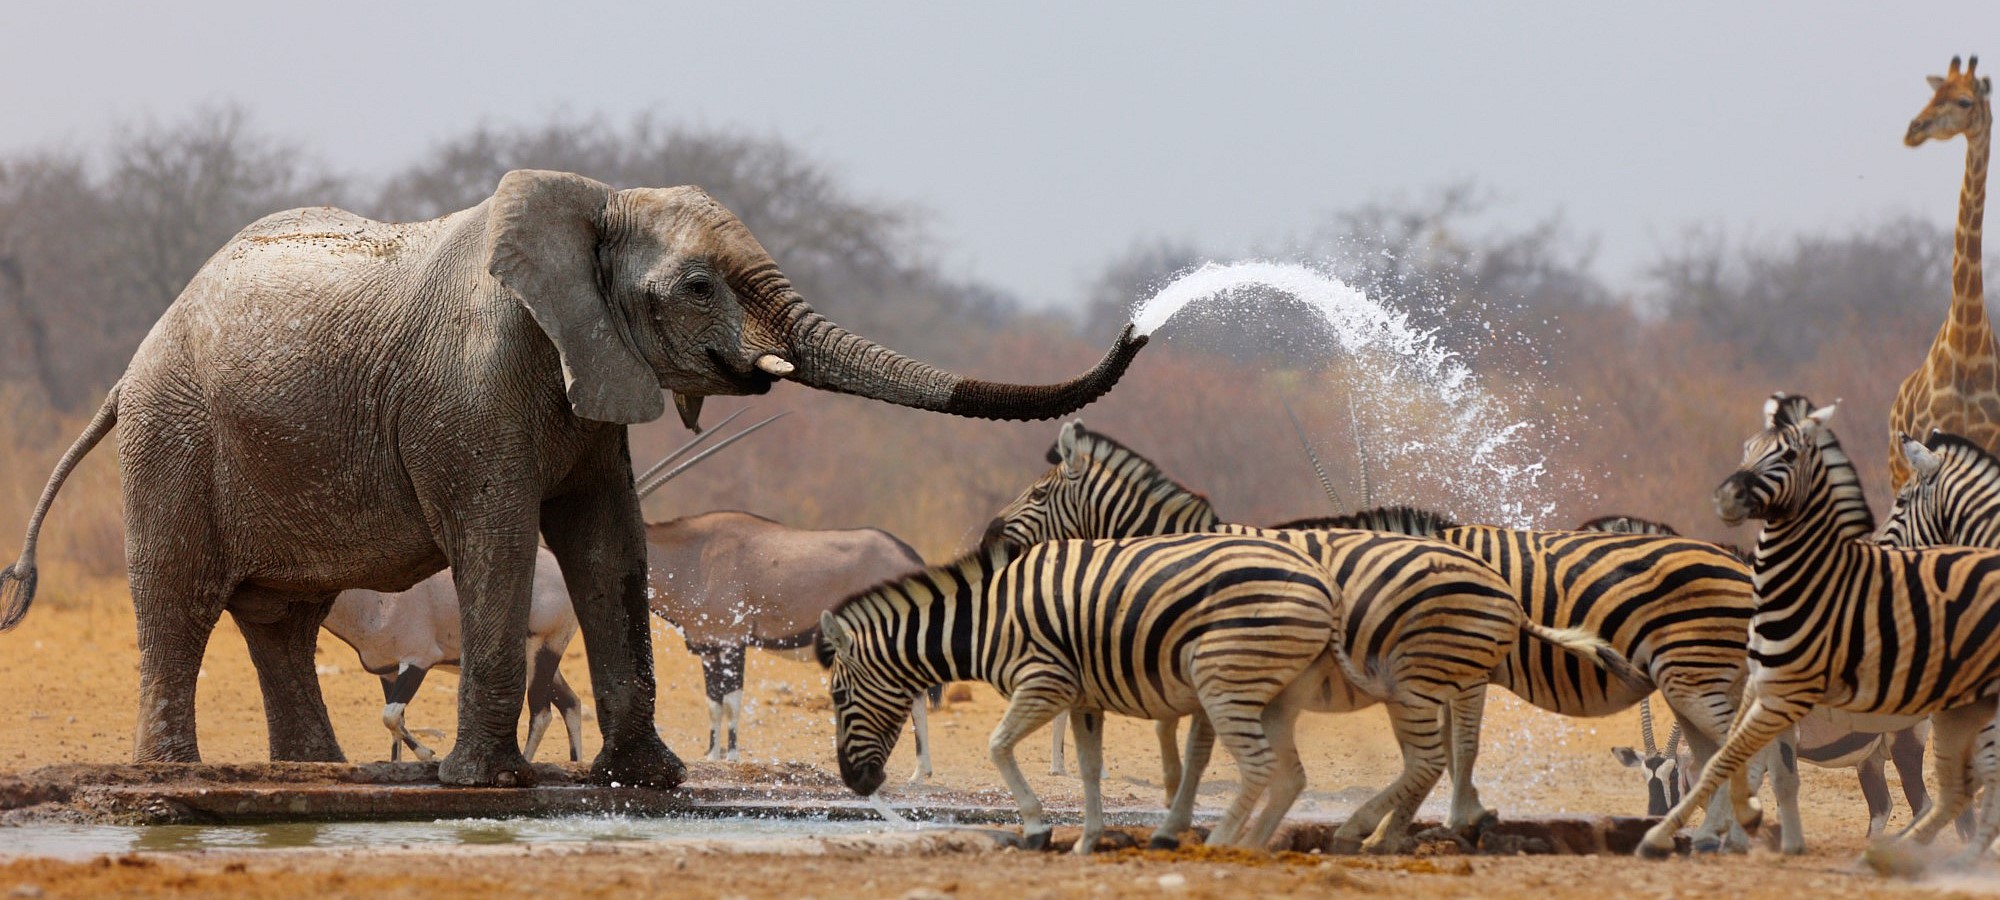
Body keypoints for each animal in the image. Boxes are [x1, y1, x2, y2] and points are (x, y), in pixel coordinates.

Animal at [0, 169, 1152, 788]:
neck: (595, 204)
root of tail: (131, 366)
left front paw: (649, 780)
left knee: (283, 616)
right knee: (181, 598)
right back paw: (175, 776)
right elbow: (502, 540)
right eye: (699, 286)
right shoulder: (472, 386)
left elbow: (610, 545)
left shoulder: (594, 377)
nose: (1142, 324)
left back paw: (315, 775)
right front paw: (484, 784)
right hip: (173, 435)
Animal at [812, 532, 1344, 856]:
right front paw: (1087, 842)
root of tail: (1325, 582)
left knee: (1259, 766)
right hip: (1268, 691)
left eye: (838, 697)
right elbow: (1088, 770)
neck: (986, 620)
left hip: (1225, 679)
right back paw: (1243, 843)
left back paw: (1221, 843)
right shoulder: (1085, 698)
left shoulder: (1045, 681)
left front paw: (1036, 828)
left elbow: (997, 746)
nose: (856, 784)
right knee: (1286, 774)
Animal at [1000, 418, 1784, 856]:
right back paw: (1712, 833)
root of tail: (1733, 560)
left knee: (1729, 745)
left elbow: (1196, 748)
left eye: (1037, 495)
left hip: (1689, 672)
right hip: (1686, 677)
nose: (993, 539)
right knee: (1717, 748)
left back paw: (1718, 830)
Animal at [1632, 398, 2000, 860]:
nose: (1651, 814)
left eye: (1677, 774)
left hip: (1906, 745)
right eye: (1643, 775)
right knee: (1891, 805)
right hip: (1872, 758)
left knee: (1928, 802)